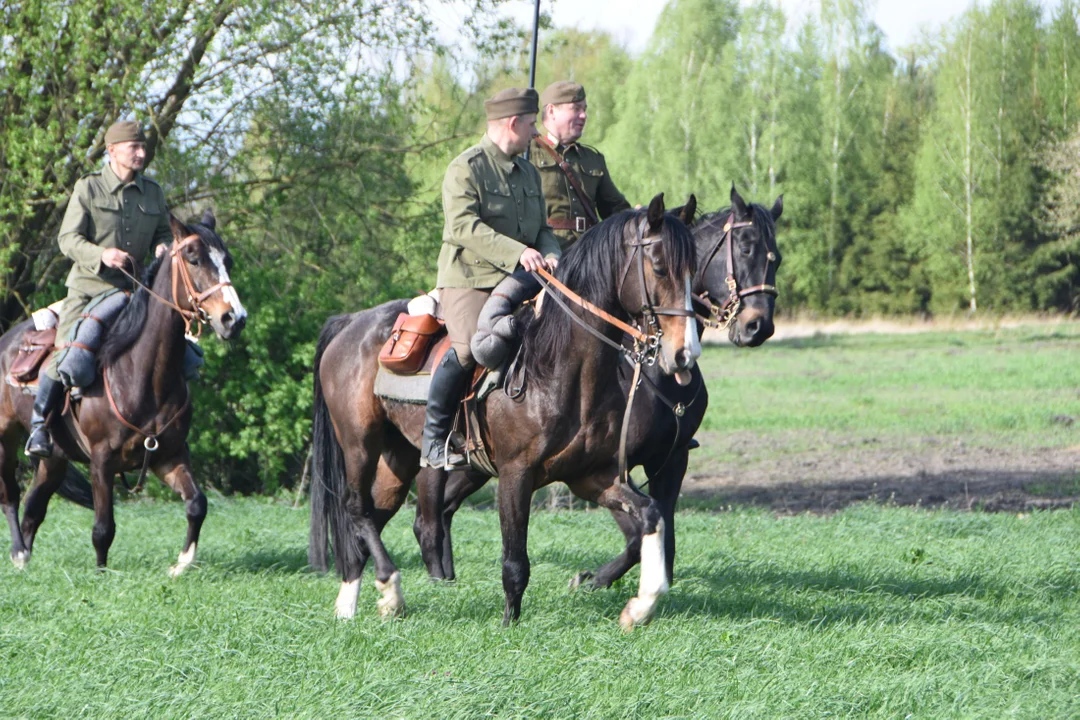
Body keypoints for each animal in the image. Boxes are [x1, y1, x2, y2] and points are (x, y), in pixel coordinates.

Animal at [0, 212, 247, 574]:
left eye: (227, 261)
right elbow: (104, 527)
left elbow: (197, 503)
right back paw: (18, 552)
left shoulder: (169, 455)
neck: (142, 373)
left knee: (35, 507)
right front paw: (101, 573)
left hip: (53, 458)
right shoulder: (101, 461)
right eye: (194, 259)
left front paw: (182, 563)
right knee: (11, 496)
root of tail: (8, 340)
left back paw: (25, 559)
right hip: (6, 438)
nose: (234, 318)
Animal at [406, 185, 786, 591]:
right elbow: (640, 538)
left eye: (775, 257)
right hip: (435, 460)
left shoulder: (668, 459)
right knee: (427, 516)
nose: (758, 327)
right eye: (745, 247)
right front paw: (591, 579)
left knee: (444, 508)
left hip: (476, 465)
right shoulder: (611, 465)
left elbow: (659, 534)